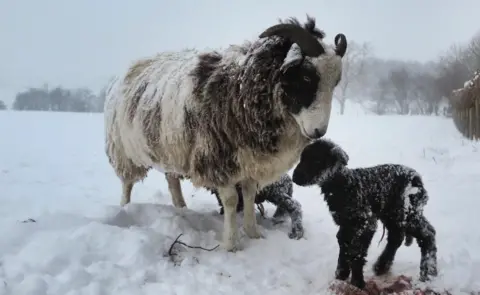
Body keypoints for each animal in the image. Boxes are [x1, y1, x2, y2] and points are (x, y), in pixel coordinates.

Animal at [103, 15, 346, 252]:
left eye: (336, 82)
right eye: (306, 77)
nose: (319, 131)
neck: (238, 89)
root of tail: (128, 70)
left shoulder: (250, 160)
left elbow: (248, 195)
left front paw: (253, 233)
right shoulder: (217, 159)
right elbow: (230, 200)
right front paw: (231, 243)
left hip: (169, 149)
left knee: (172, 181)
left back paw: (182, 209)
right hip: (123, 150)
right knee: (127, 183)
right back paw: (125, 209)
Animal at [290, 139, 436, 292]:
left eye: (317, 160)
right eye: (302, 158)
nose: (295, 178)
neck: (344, 187)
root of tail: (416, 178)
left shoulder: (366, 222)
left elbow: (357, 251)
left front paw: (357, 281)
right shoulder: (346, 223)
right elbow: (344, 243)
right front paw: (341, 274)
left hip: (406, 212)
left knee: (427, 234)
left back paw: (428, 273)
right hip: (394, 214)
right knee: (397, 237)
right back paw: (382, 266)